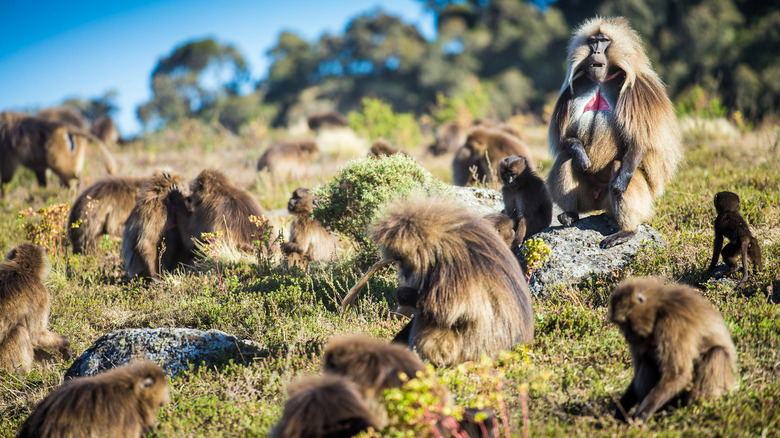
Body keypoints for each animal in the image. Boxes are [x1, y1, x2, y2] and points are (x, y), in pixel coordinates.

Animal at [544, 17, 680, 248]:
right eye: (593, 41)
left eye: (604, 40)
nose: (596, 51)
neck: (601, 80)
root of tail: (600, 203)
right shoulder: (574, 87)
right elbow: (565, 140)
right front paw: (581, 156)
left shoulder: (638, 91)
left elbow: (639, 140)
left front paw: (621, 182)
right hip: (588, 199)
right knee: (565, 158)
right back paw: (570, 214)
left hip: (622, 195)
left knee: (619, 168)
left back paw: (626, 230)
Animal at [608, 278, 736, 422]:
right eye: (620, 324)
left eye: (625, 322)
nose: (627, 336)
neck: (657, 311)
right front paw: (620, 413)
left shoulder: (673, 324)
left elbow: (678, 373)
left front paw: (641, 414)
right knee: (648, 362)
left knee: (717, 353)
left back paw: (689, 410)